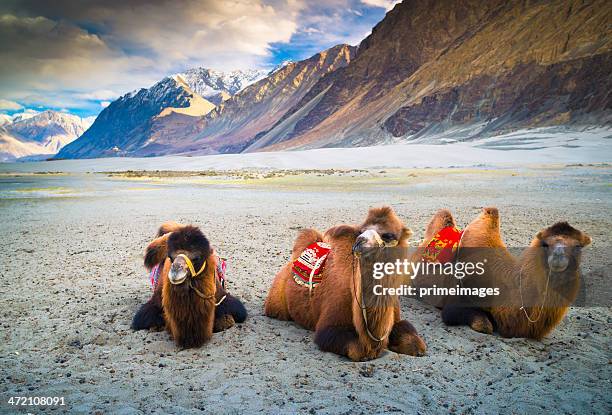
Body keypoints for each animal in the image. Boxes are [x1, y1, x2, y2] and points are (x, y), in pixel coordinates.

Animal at [262, 207, 426, 360]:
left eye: (388, 235)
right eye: (361, 231)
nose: (360, 241)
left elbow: (413, 339)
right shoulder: (331, 325)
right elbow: (357, 349)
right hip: (276, 300)